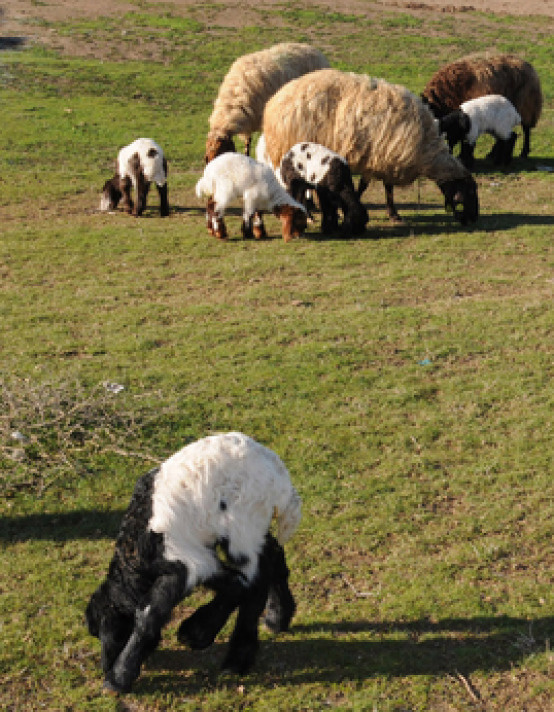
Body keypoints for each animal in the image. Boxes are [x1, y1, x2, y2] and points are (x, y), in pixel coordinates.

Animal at [85, 432, 302, 692]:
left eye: (110, 631)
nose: (104, 665)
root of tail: (279, 477)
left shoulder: (184, 561)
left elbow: (148, 614)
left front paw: (118, 678)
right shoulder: (199, 557)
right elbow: (231, 583)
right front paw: (197, 632)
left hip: (243, 526)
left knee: (255, 579)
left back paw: (237, 659)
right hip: (252, 529)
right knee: (271, 556)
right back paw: (277, 617)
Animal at [260, 68, 476, 225]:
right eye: (469, 192)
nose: (472, 220)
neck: (426, 151)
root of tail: (273, 102)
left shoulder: (383, 159)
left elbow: (384, 188)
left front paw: (392, 213)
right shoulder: (381, 156)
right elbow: (372, 187)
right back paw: (310, 216)